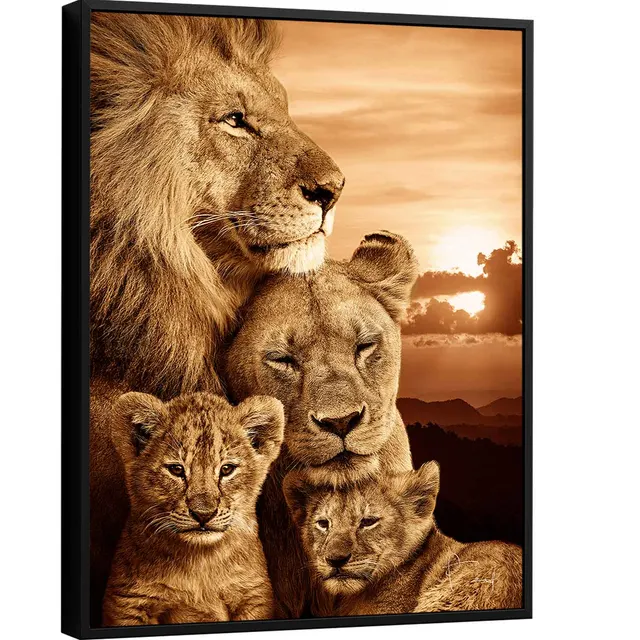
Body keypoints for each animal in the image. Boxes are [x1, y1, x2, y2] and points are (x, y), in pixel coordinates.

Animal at [103, 391, 284, 626]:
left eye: (227, 469)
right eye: (176, 469)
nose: (203, 514)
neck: (199, 561)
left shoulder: (253, 596)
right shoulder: (129, 603)